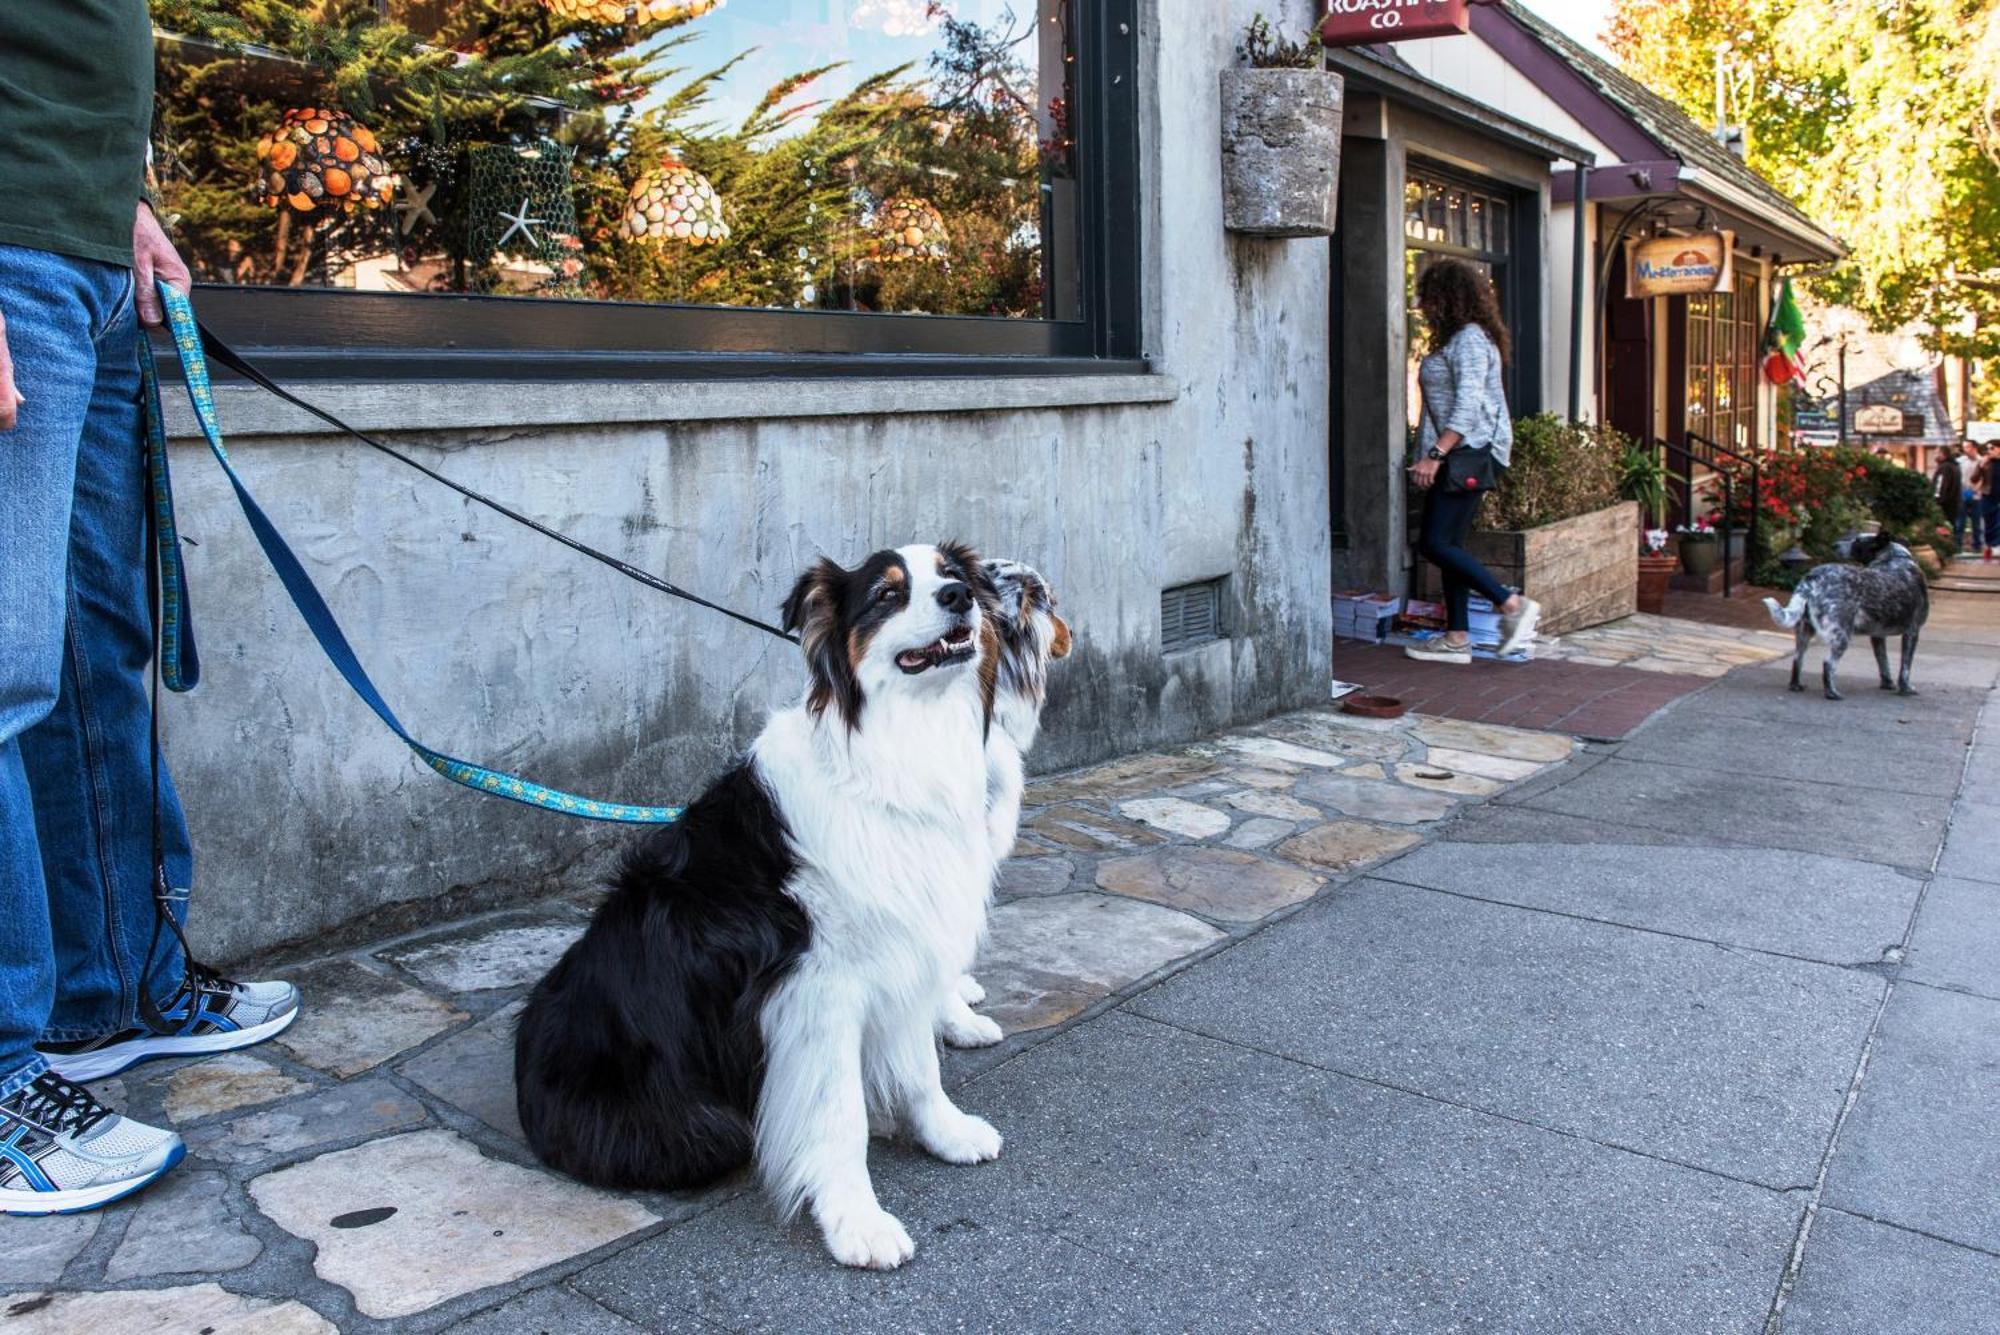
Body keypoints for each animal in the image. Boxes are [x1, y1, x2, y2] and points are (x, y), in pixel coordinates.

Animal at [516, 543, 1008, 1271]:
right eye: (888, 594)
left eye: (953, 575)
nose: (957, 597)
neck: (890, 754)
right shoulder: (816, 990)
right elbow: (838, 1114)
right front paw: (858, 1222)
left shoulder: (904, 948)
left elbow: (921, 1067)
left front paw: (947, 1132)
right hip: (697, 1123)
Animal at [1760, 527, 1928, 699]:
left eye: (1858, 541)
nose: (1834, 544)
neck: (1894, 558)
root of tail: (1812, 576)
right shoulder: (1912, 632)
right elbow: (1905, 667)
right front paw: (1905, 689)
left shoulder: (1878, 636)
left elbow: (1884, 663)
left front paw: (1888, 684)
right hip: (1842, 636)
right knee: (1828, 664)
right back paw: (1832, 693)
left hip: (1804, 631)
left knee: (1797, 659)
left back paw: (1796, 685)